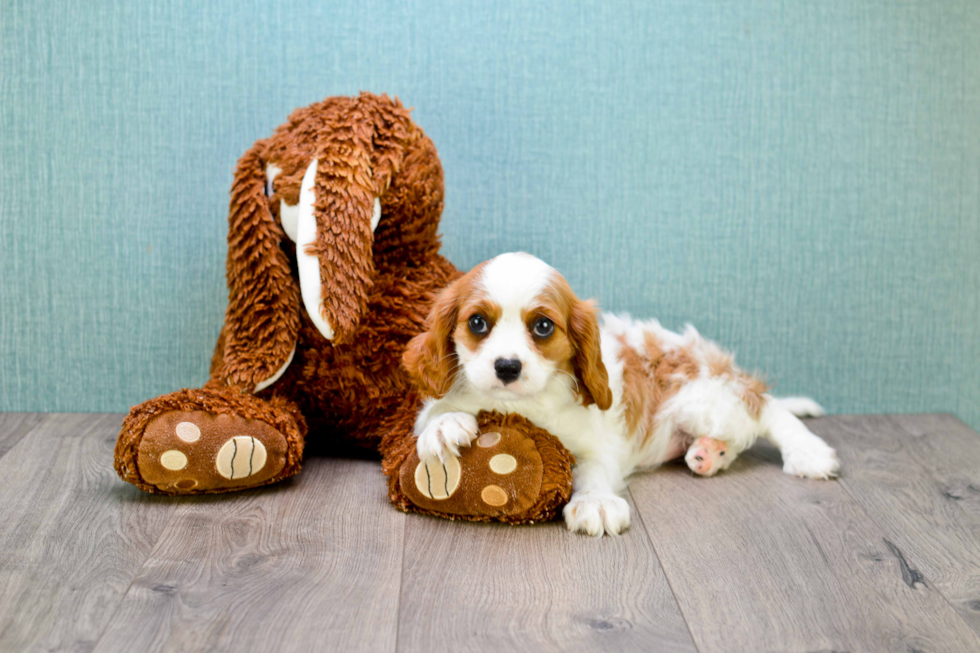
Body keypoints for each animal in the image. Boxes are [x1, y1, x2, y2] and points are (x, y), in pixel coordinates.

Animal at [402, 252, 840, 532]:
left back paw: (807, 452)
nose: (507, 366)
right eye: (477, 322)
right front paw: (444, 427)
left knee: (766, 409)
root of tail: (719, 363)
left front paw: (594, 502)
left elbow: (593, 470)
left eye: (543, 327)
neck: (523, 406)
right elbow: (434, 413)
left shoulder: (599, 443)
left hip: (702, 398)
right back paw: (707, 454)